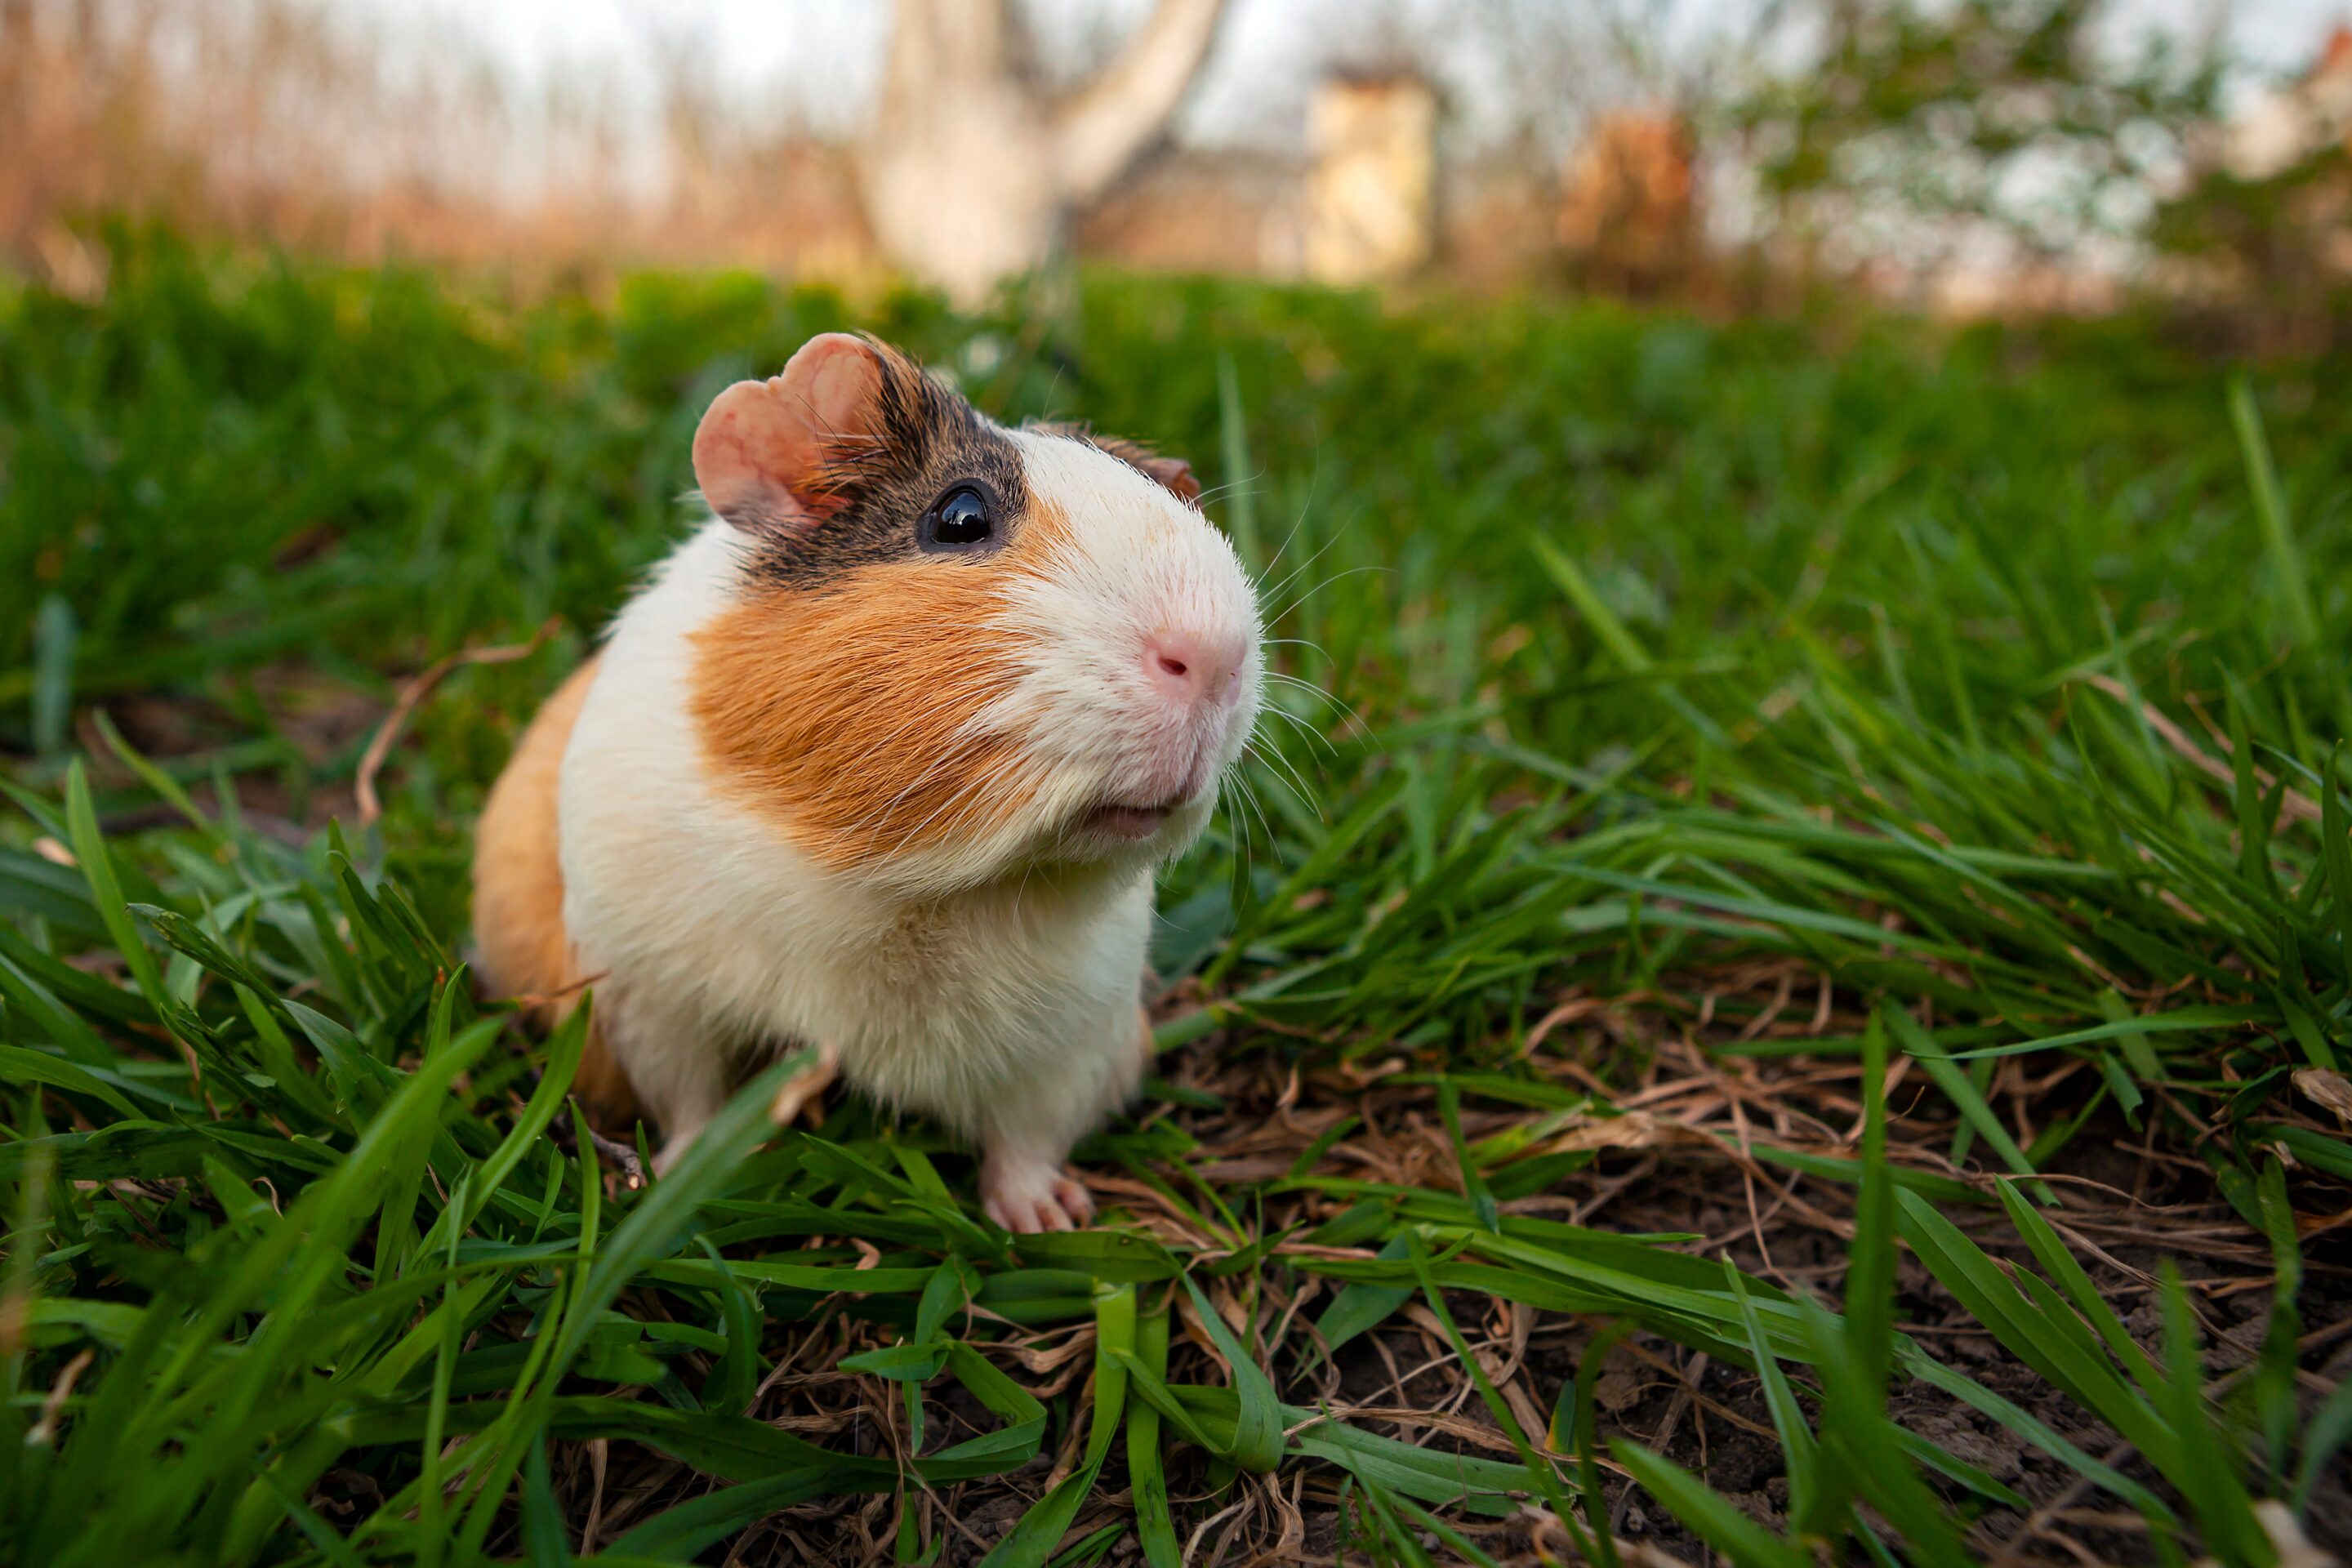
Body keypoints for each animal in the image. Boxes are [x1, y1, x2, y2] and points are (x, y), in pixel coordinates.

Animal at [472, 332, 1263, 1232]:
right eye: (961, 517)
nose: (1218, 656)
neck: (907, 887)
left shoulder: (1071, 1044)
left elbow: (1027, 1140)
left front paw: (1049, 1220)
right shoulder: (651, 996)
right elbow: (690, 1102)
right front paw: (677, 1186)